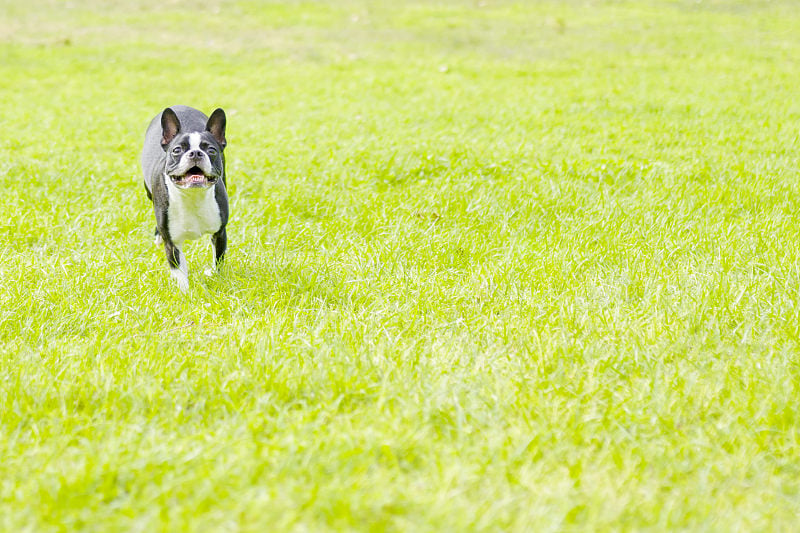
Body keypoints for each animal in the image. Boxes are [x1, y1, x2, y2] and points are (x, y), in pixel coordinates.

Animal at [139, 105, 228, 290]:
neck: (192, 196)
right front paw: (185, 293)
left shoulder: (219, 233)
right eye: (177, 150)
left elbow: (218, 260)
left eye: (211, 150)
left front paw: (217, 279)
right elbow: (179, 272)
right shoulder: (172, 243)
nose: (195, 153)